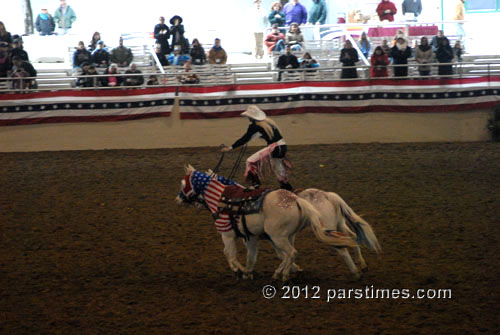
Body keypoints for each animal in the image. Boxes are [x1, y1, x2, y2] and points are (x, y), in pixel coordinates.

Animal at [174, 165, 358, 284]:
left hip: (280, 235)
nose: (177, 199)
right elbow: (253, 256)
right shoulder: (252, 238)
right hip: (293, 234)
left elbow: (230, 254)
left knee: (297, 252)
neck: (221, 197)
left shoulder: (227, 234)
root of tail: (296, 199)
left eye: (184, 184)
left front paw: (240, 271)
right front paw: (247, 272)